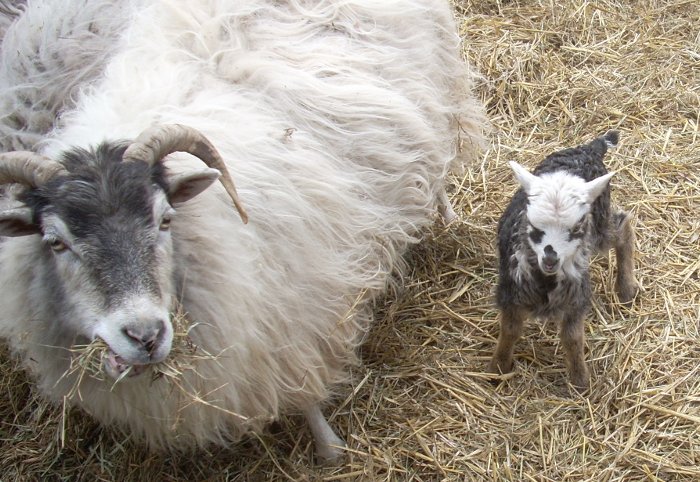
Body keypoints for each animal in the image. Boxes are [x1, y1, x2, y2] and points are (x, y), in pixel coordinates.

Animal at [0, 0, 485, 461]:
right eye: (55, 242)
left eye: (164, 219)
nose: (144, 336)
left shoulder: (294, 310)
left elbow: (304, 392)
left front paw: (330, 449)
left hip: (438, 89)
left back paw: (446, 214)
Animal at [487, 131, 638, 390]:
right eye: (533, 225)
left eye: (576, 227)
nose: (550, 257)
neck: (546, 281)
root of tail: (588, 149)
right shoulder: (511, 291)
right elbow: (510, 330)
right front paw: (499, 367)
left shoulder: (576, 297)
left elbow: (572, 338)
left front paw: (580, 379)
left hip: (598, 226)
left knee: (622, 227)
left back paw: (626, 287)